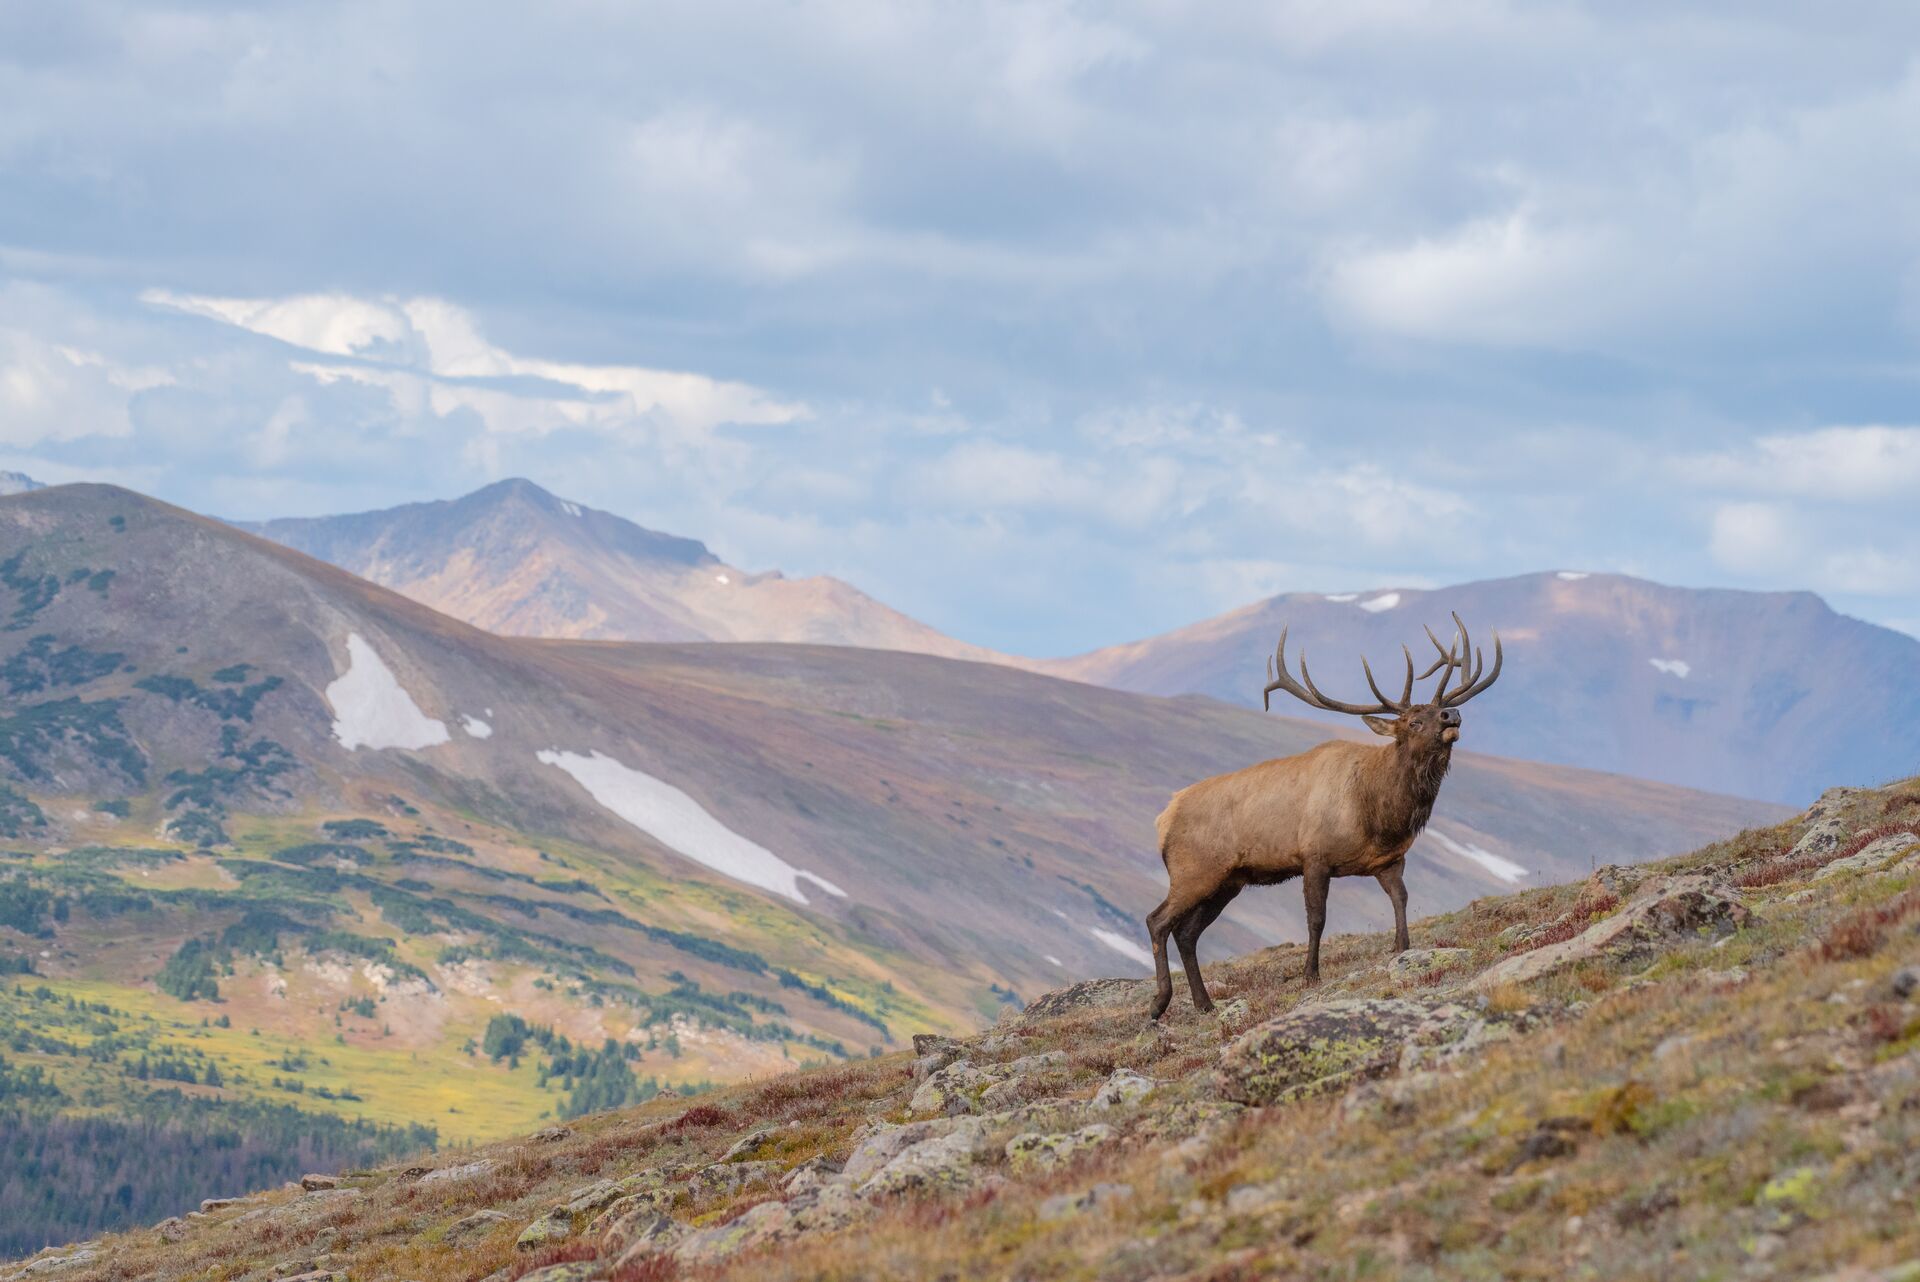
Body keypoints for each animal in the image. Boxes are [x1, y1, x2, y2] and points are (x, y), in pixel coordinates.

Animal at [1144, 614, 1505, 1020]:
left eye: (1437, 710)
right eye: (1413, 721)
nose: (1451, 714)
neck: (1378, 815)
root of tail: (1163, 818)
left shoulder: (1390, 859)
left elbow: (1400, 898)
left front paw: (1402, 947)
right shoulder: (1314, 856)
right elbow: (1316, 918)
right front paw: (1310, 975)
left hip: (1227, 881)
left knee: (1186, 932)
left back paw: (1204, 1004)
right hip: (1193, 870)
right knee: (1158, 920)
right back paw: (1159, 1003)